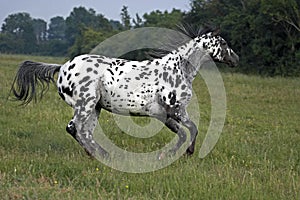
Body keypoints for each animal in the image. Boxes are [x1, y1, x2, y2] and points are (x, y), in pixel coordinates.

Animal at [11, 27, 239, 159]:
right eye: (223, 43)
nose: (235, 59)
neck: (178, 69)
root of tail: (63, 67)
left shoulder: (164, 114)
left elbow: (183, 133)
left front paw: (173, 154)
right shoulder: (176, 110)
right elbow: (192, 129)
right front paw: (185, 153)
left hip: (95, 108)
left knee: (82, 132)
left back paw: (97, 154)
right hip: (86, 104)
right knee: (75, 129)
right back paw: (104, 155)